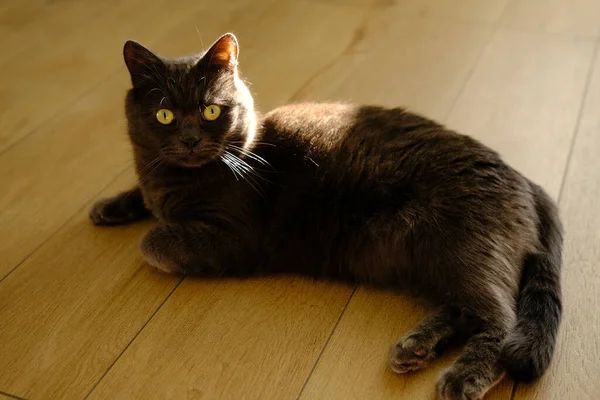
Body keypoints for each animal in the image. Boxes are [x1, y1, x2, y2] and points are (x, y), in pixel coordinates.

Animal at [90, 34, 564, 400]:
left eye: (211, 110)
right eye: (164, 115)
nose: (190, 140)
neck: (181, 178)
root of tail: (526, 180)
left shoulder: (236, 238)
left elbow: (152, 241)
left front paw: (150, 231)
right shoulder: (154, 175)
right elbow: (143, 193)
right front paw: (108, 206)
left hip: (458, 247)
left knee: (499, 317)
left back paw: (462, 377)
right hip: (422, 258)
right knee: (464, 308)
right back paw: (415, 347)